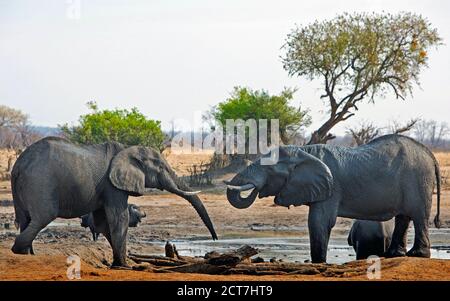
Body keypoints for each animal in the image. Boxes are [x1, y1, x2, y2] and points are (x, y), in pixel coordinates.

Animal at [11, 136, 217, 264]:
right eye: (161, 167)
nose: (215, 238)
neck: (128, 150)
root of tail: (19, 164)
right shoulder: (113, 186)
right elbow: (120, 218)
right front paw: (125, 266)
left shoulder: (104, 188)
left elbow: (103, 222)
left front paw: (117, 263)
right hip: (40, 182)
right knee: (43, 217)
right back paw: (18, 250)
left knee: (26, 219)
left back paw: (27, 255)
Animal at [224, 135, 440, 262]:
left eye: (268, 169)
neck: (303, 151)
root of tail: (430, 154)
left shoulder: (331, 188)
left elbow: (319, 221)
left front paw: (319, 263)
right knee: (404, 217)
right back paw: (395, 255)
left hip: (418, 178)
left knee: (419, 215)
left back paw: (418, 255)